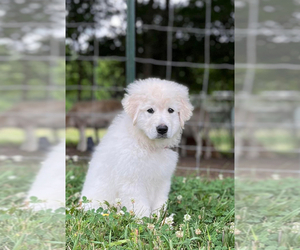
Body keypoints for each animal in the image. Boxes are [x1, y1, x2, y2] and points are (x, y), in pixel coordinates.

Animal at [80, 78, 192, 217]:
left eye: (170, 110)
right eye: (150, 110)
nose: (162, 129)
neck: (148, 144)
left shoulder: (162, 180)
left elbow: (160, 203)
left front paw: (159, 219)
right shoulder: (132, 181)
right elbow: (139, 206)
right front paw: (144, 221)